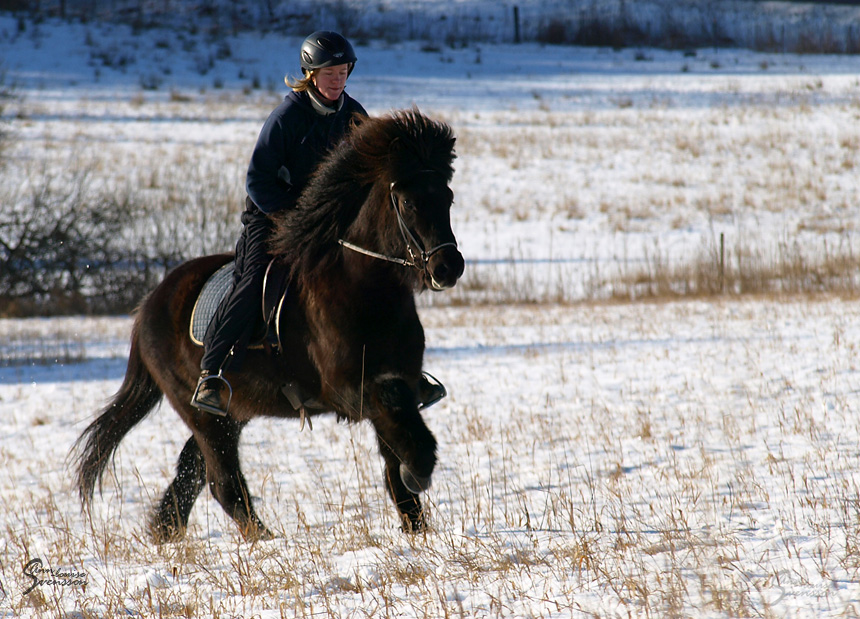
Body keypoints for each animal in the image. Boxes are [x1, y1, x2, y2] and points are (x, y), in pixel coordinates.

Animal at [74, 111, 464, 544]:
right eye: (409, 202)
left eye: (446, 197)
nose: (448, 267)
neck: (364, 289)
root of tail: (147, 306)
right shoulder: (351, 391)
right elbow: (402, 434)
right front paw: (420, 472)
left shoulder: (400, 380)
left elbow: (396, 459)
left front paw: (417, 526)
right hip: (204, 414)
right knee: (222, 482)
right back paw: (263, 539)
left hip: (229, 415)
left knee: (190, 477)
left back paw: (168, 535)